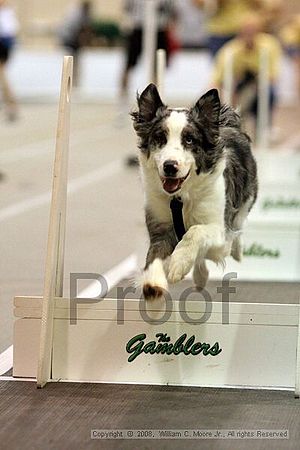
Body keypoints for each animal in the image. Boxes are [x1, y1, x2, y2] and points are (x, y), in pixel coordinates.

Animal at [132, 84, 258, 300]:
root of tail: (228, 123)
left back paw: (238, 250)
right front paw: (153, 282)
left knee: (239, 222)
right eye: (160, 138)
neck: (180, 198)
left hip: (247, 196)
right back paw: (200, 276)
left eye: (189, 139)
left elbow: (195, 231)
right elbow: (155, 255)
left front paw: (178, 264)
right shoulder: (160, 225)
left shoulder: (219, 229)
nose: (170, 166)